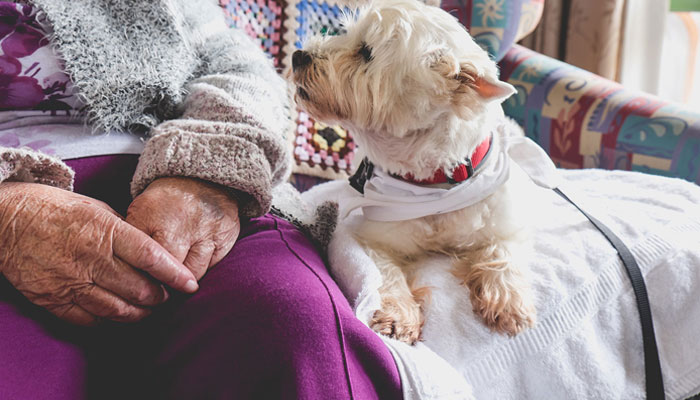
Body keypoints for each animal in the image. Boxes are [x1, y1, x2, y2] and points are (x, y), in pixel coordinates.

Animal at [290, 0, 536, 344]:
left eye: (366, 51)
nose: (298, 55)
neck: (437, 183)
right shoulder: (374, 237)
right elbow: (384, 273)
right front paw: (397, 316)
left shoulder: (506, 221)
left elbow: (503, 251)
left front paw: (508, 301)